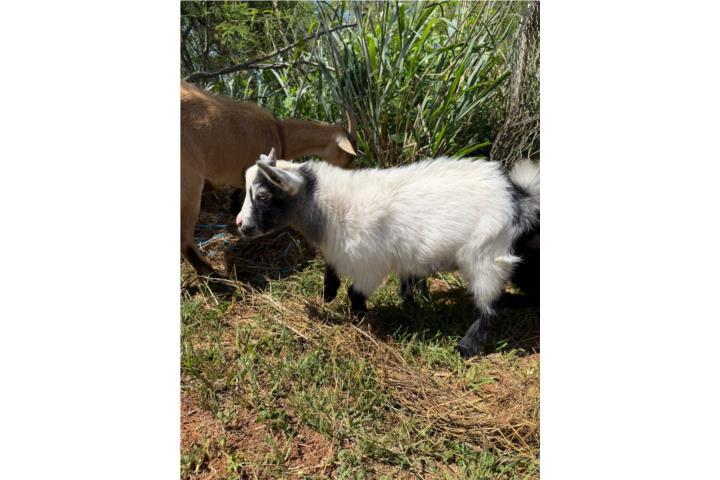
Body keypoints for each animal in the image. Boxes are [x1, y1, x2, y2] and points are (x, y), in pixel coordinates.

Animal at [181, 81, 357, 276]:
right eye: (350, 156)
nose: (350, 173)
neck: (279, 134)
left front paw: (233, 207)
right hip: (190, 184)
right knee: (185, 239)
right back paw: (210, 273)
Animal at [235, 149, 540, 358]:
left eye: (262, 196)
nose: (240, 224)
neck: (327, 207)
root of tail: (518, 197)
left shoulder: (370, 264)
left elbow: (355, 294)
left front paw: (361, 320)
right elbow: (333, 270)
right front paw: (329, 291)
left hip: (487, 256)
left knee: (490, 307)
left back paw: (467, 346)